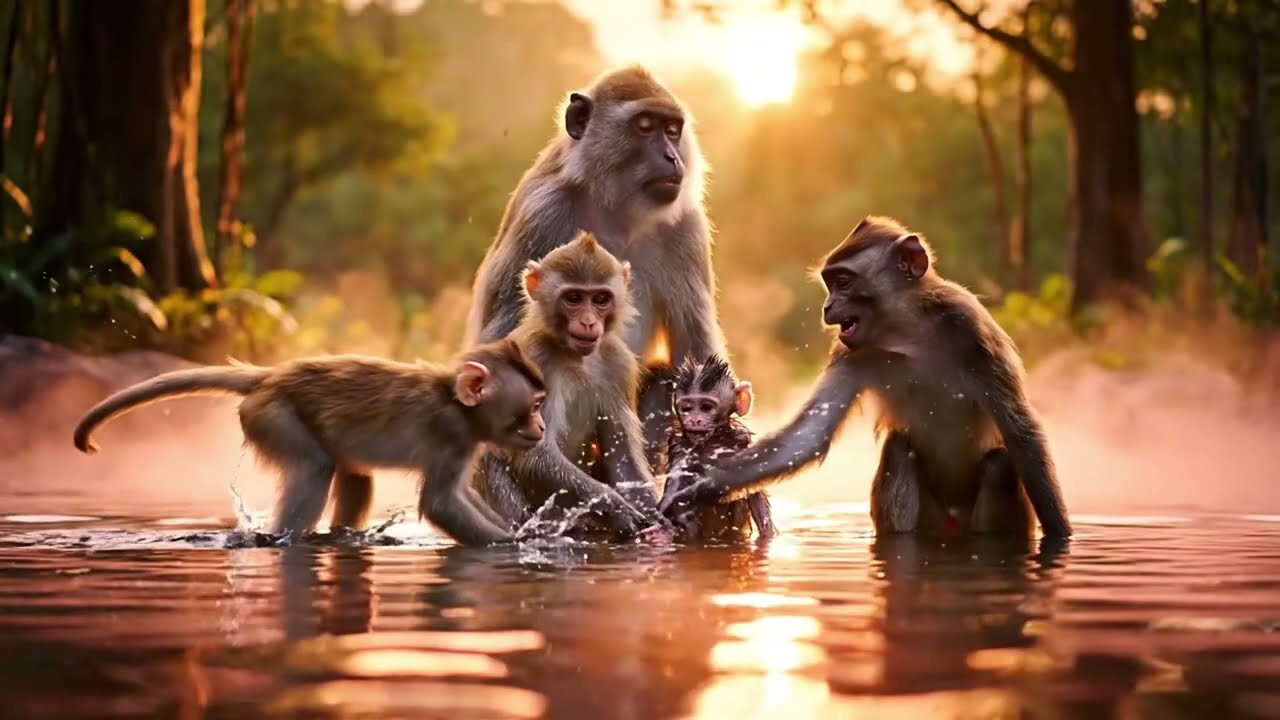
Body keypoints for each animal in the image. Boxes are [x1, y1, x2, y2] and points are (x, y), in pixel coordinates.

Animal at [72, 339, 548, 546]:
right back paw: (282, 537)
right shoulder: (451, 436)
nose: (542, 427)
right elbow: (441, 504)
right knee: (315, 467)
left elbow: (462, 496)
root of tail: (272, 376)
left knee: (355, 475)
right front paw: (516, 544)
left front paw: (525, 528)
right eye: (533, 406)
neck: (457, 403)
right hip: (272, 417)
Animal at [464, 65, 730, 474]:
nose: (672, 157)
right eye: (645, 126)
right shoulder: (543, 215)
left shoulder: (685, 227)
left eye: (672, 130)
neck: (615, 209)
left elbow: (695, 353)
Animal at [473, 232, 662, 540]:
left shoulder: (617, 363)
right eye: (573, 298)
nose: (588, 322)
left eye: (600, 299)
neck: (574, 356)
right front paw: (616, 508)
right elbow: (535, 454)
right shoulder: (535, 358)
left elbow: (623, 462)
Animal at [658, 354, 775, 541]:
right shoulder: (676, 443)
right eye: (686, 408)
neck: (712, 441)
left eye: (706, 407)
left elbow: (755, 495)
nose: (694, 420)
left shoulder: (742, 439)